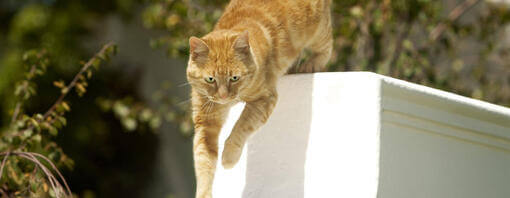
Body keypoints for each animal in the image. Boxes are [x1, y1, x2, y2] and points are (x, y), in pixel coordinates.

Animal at [187, 0, 334, 196]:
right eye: (210, 79)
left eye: (234, 78)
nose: (224, 95)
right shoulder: (205, 123)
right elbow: (203, 161)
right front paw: (204, 192)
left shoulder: (264, 99)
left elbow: (241, 126)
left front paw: (229, 157)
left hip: (318, 31)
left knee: (326, 46)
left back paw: (311, 64)